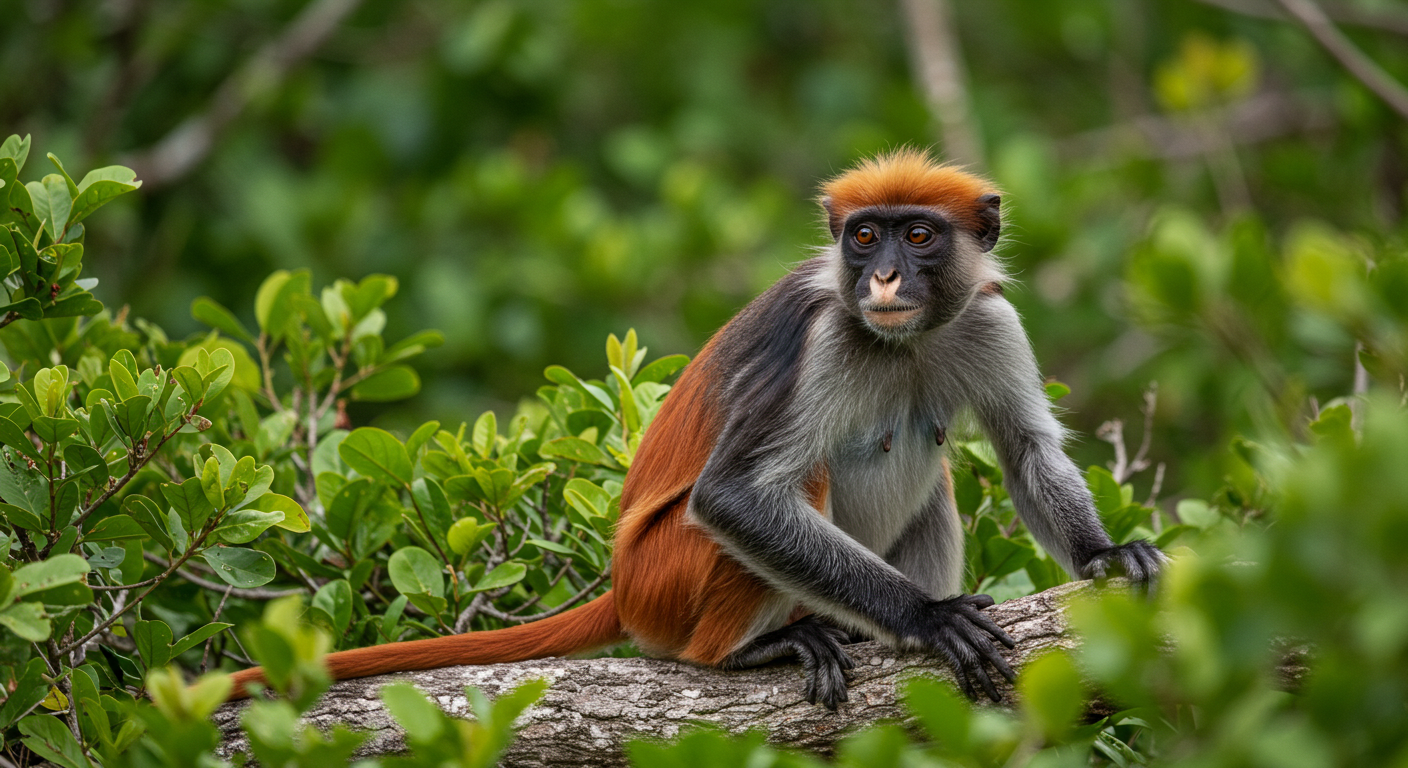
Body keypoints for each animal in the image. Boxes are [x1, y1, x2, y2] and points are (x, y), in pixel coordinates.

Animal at [229, 149, 1163, 708]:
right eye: (866, 237)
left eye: (921, 235)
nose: (886, 277)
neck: (903, 341)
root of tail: (622, 583)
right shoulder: (826, 334)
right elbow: (731, 495)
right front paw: (927, 618)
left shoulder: (987, 318)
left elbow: (1027, 449)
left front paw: (1105, 555)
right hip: (669, 575)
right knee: (794, 485)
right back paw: (743, 652)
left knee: (931, 479)